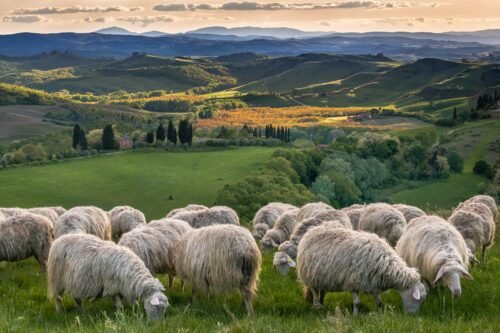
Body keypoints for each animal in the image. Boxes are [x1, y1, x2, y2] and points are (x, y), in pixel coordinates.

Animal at [296, 226, 426, 314]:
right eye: (418, 299)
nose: (412, 316)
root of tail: (312, 230)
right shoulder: (354, 281)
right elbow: (357, 303)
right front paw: (355, 316)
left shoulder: (373, 283)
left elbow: (379, 301)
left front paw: (379, 314)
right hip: (309, 275)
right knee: (314, 292)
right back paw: (317, 307)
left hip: (322, 277)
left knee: (322, 291)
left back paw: (322, 304)